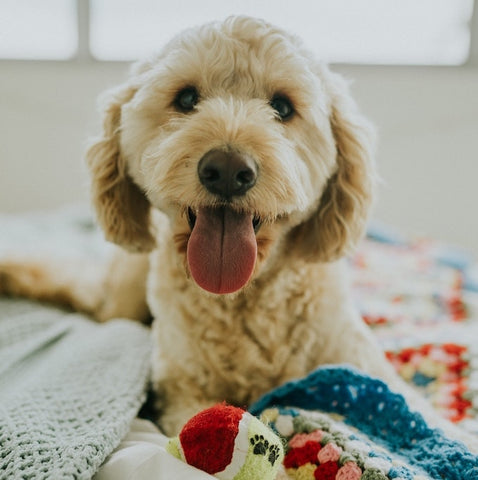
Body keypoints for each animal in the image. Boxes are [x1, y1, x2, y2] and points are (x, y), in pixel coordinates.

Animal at [0, 15, 478, 448]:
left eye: (282, 107)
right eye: (186, 98)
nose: (228, 170)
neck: (244, 299)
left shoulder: (363, 367)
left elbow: (429, 418)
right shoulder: (183, 390)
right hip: (121, 299)